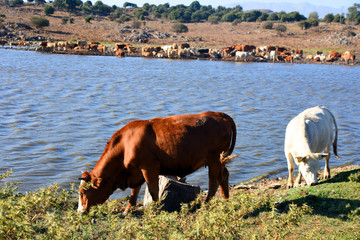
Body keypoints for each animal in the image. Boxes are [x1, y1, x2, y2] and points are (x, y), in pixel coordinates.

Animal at [77, 111, 238, 213]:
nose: (80, 211)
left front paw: (156, 209)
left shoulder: (149, 168)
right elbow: (134, 192)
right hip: (220, 160)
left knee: (214, 181)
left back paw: (205, 204)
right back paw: (226, 199)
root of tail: (220, 114)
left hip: (214, 159)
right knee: (224, 177)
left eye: (82, 192)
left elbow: (153, 190)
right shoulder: (136, 172)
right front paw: (127, 211)